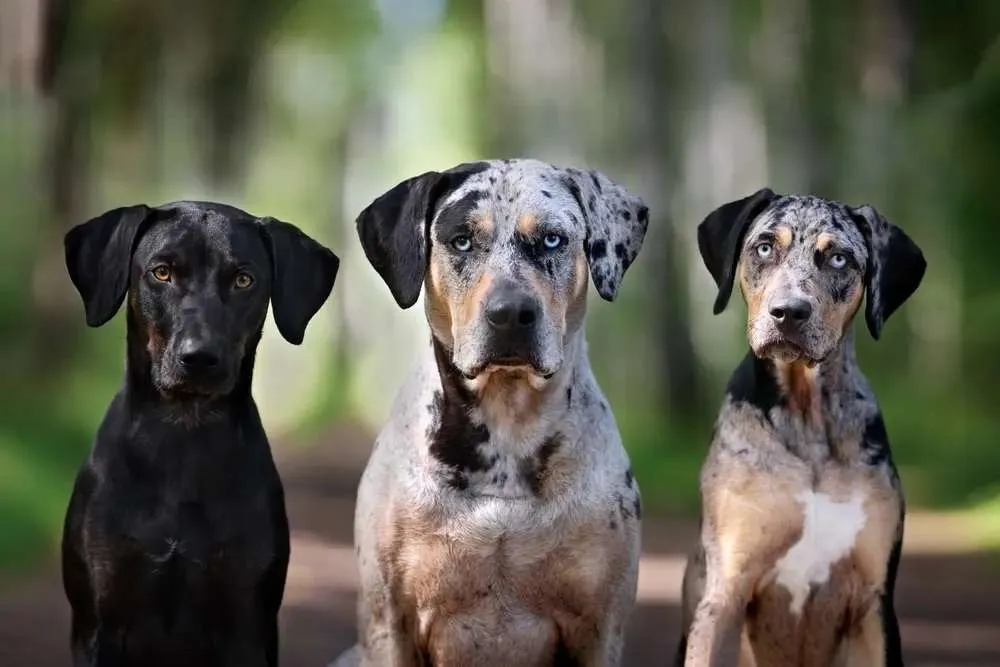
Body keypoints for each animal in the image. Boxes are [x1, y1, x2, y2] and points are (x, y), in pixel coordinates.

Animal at [59, 202, 340, 667]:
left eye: (244, 279)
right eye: (161, 273)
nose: (199, 357)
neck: (183, 435)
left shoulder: (246, 624)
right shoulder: (98, 624)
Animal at [332, 159, 652, 664]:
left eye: (552, 239)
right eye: (461, 240)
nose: (510, 313)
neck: (507, 426)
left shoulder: (600, 627)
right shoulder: (389, 623)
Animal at [676, 189, 924, 667]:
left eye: (840, 259)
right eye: (764, 247)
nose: (789, 312)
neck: (807, 417)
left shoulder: (873, 603)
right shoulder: (723, 592)